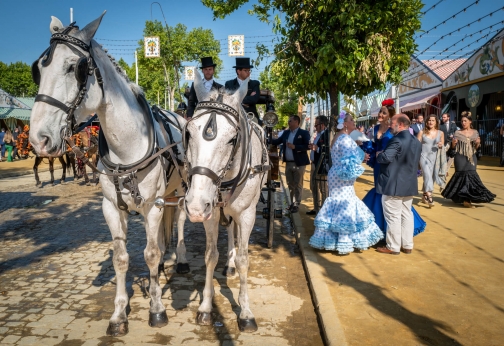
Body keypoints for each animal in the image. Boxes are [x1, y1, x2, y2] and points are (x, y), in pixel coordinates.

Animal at [29, 12, 191, 336]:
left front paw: (157, 308)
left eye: (75, 68)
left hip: (177, 191)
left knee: (178, 220)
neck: (126, 146)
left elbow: (149, 254)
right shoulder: (112, 208)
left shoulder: (152, 205)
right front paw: (119, 315)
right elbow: (121, 258)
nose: (38, 139)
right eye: (38, 69)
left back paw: (178, 258)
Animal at [182, 70, 268, 332]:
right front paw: (206, 307)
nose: (195, 206)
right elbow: (211, 255)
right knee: (229, 229)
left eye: (232, 139)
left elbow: (244, 259)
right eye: (188, 133)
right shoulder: (210, 214)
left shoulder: (247, 214)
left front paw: (246, 312)